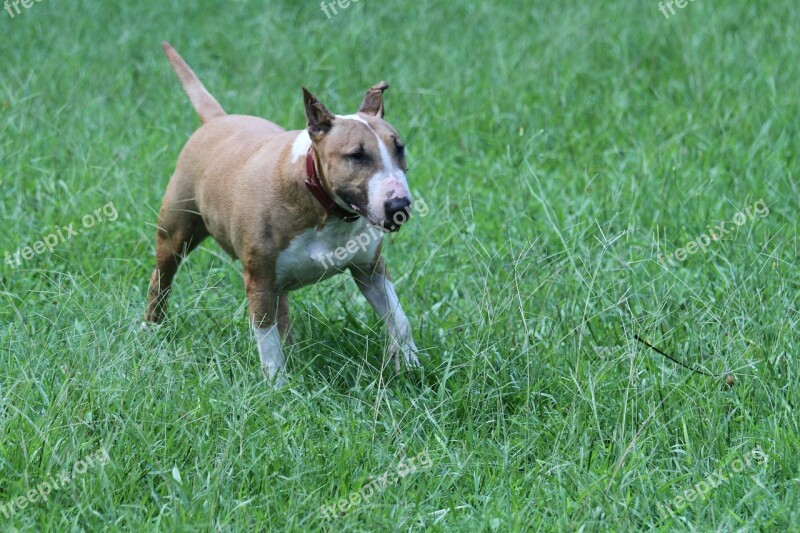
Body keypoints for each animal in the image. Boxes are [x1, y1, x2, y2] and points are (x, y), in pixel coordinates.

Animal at [145, 41, 422, 382]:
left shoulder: (370, 269)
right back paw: (151, 329)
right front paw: (277, 386)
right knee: (162, 278)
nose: (399, 207)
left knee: (283, 309)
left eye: (399, 147)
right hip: (174, 233)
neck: (324, 210)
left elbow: (399, 318)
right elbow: (267, 341)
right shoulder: (259, 279)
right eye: (356, 155)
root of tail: (216, 120)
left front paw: (410, 365)